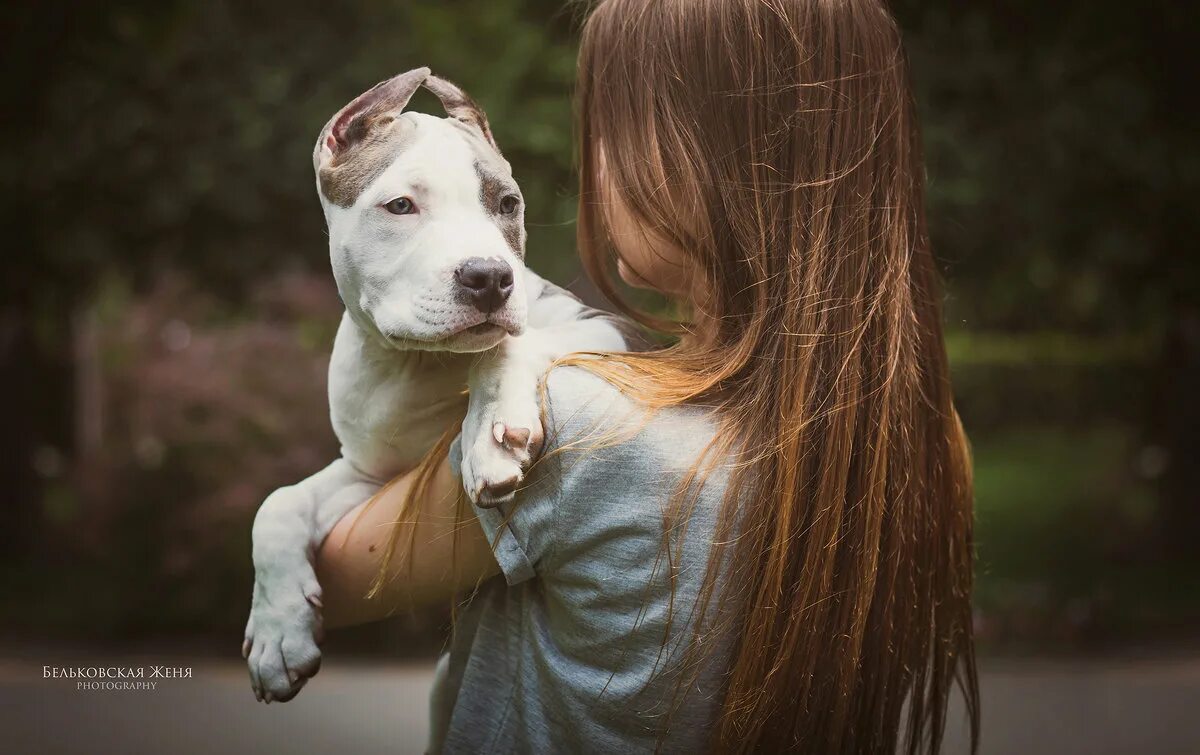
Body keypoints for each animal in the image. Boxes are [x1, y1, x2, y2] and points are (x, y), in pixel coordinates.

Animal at [237, 69, 624, 700]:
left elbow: (509, 345)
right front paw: (277, 632)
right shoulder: (376, 478)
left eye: (508, 204)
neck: (419, 365)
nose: (490, 277)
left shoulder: (616, 330)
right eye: (400, 205)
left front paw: (489, 437)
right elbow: (278, 502)